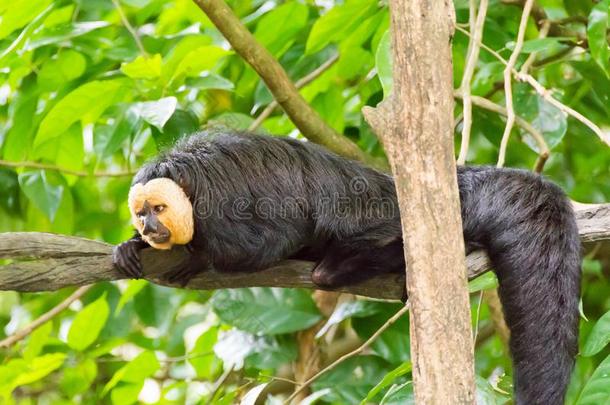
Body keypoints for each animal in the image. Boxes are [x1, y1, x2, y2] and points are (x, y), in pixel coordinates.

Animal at [113, 130, 580, 404]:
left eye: (158, 208)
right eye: (141, 212)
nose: (149, 226)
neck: (188, 187)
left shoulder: (220, 203)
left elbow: (268, 240)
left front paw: (194, 258)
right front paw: (129, 246)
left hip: (383, 218)